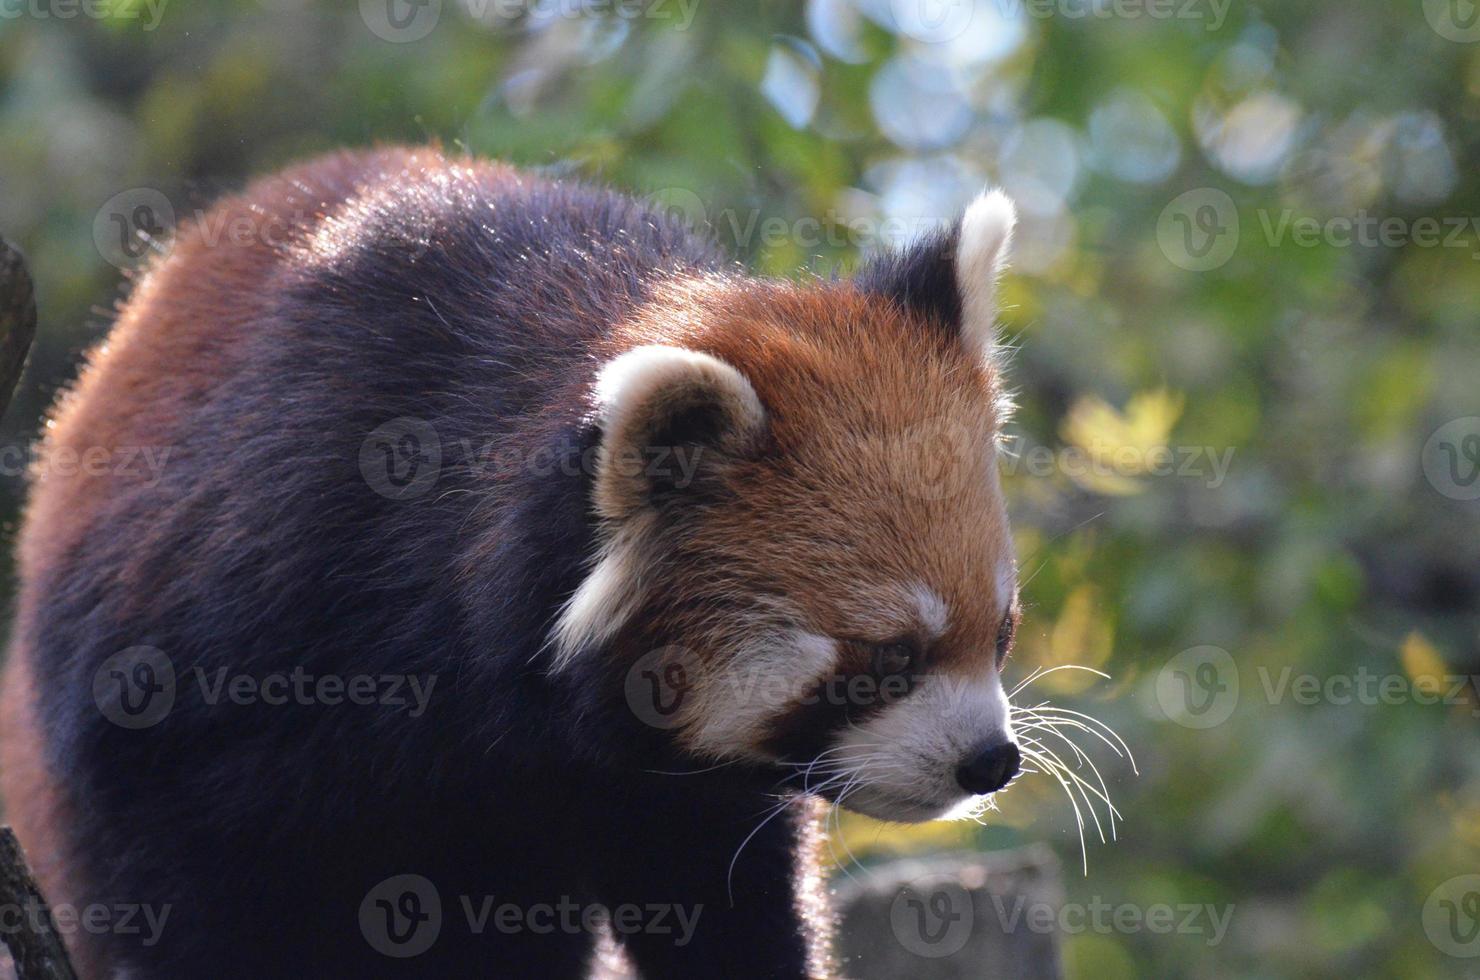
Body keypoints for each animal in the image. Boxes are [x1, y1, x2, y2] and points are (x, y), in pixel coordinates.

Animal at [0, 148, 1018, 980]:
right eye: (888, 654)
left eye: (1001, 633)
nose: (993, 761)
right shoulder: (219, 646)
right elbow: (197, 890)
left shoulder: (657, 789)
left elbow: (722, 896)